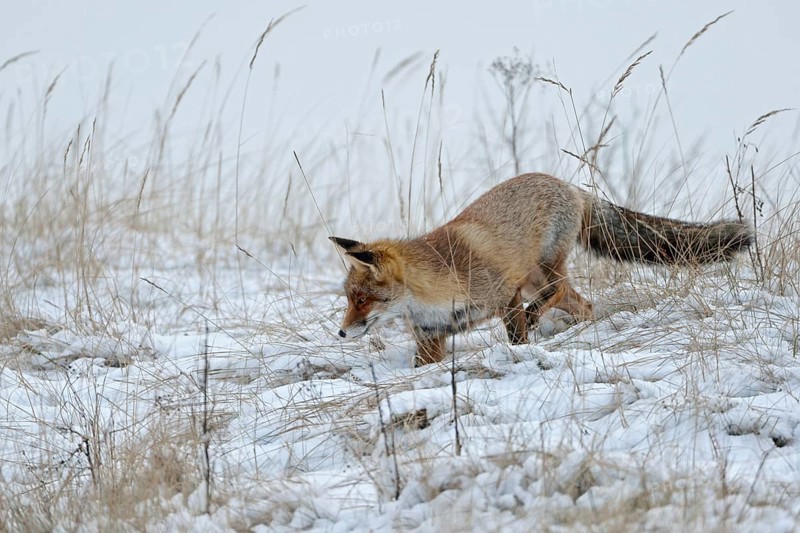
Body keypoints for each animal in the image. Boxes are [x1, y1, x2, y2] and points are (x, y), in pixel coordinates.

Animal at [331, 173, 752, 367]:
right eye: (349, 298)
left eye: (364, 300)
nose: (340, 333)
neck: (431, 289)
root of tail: (568, 184)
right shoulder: (432, 336)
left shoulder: (505, 295)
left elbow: (517, 337)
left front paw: (521, 354)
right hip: (536, 278)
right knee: (584, 303)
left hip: (542, 270)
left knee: (561, 290)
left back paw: (544, 319)